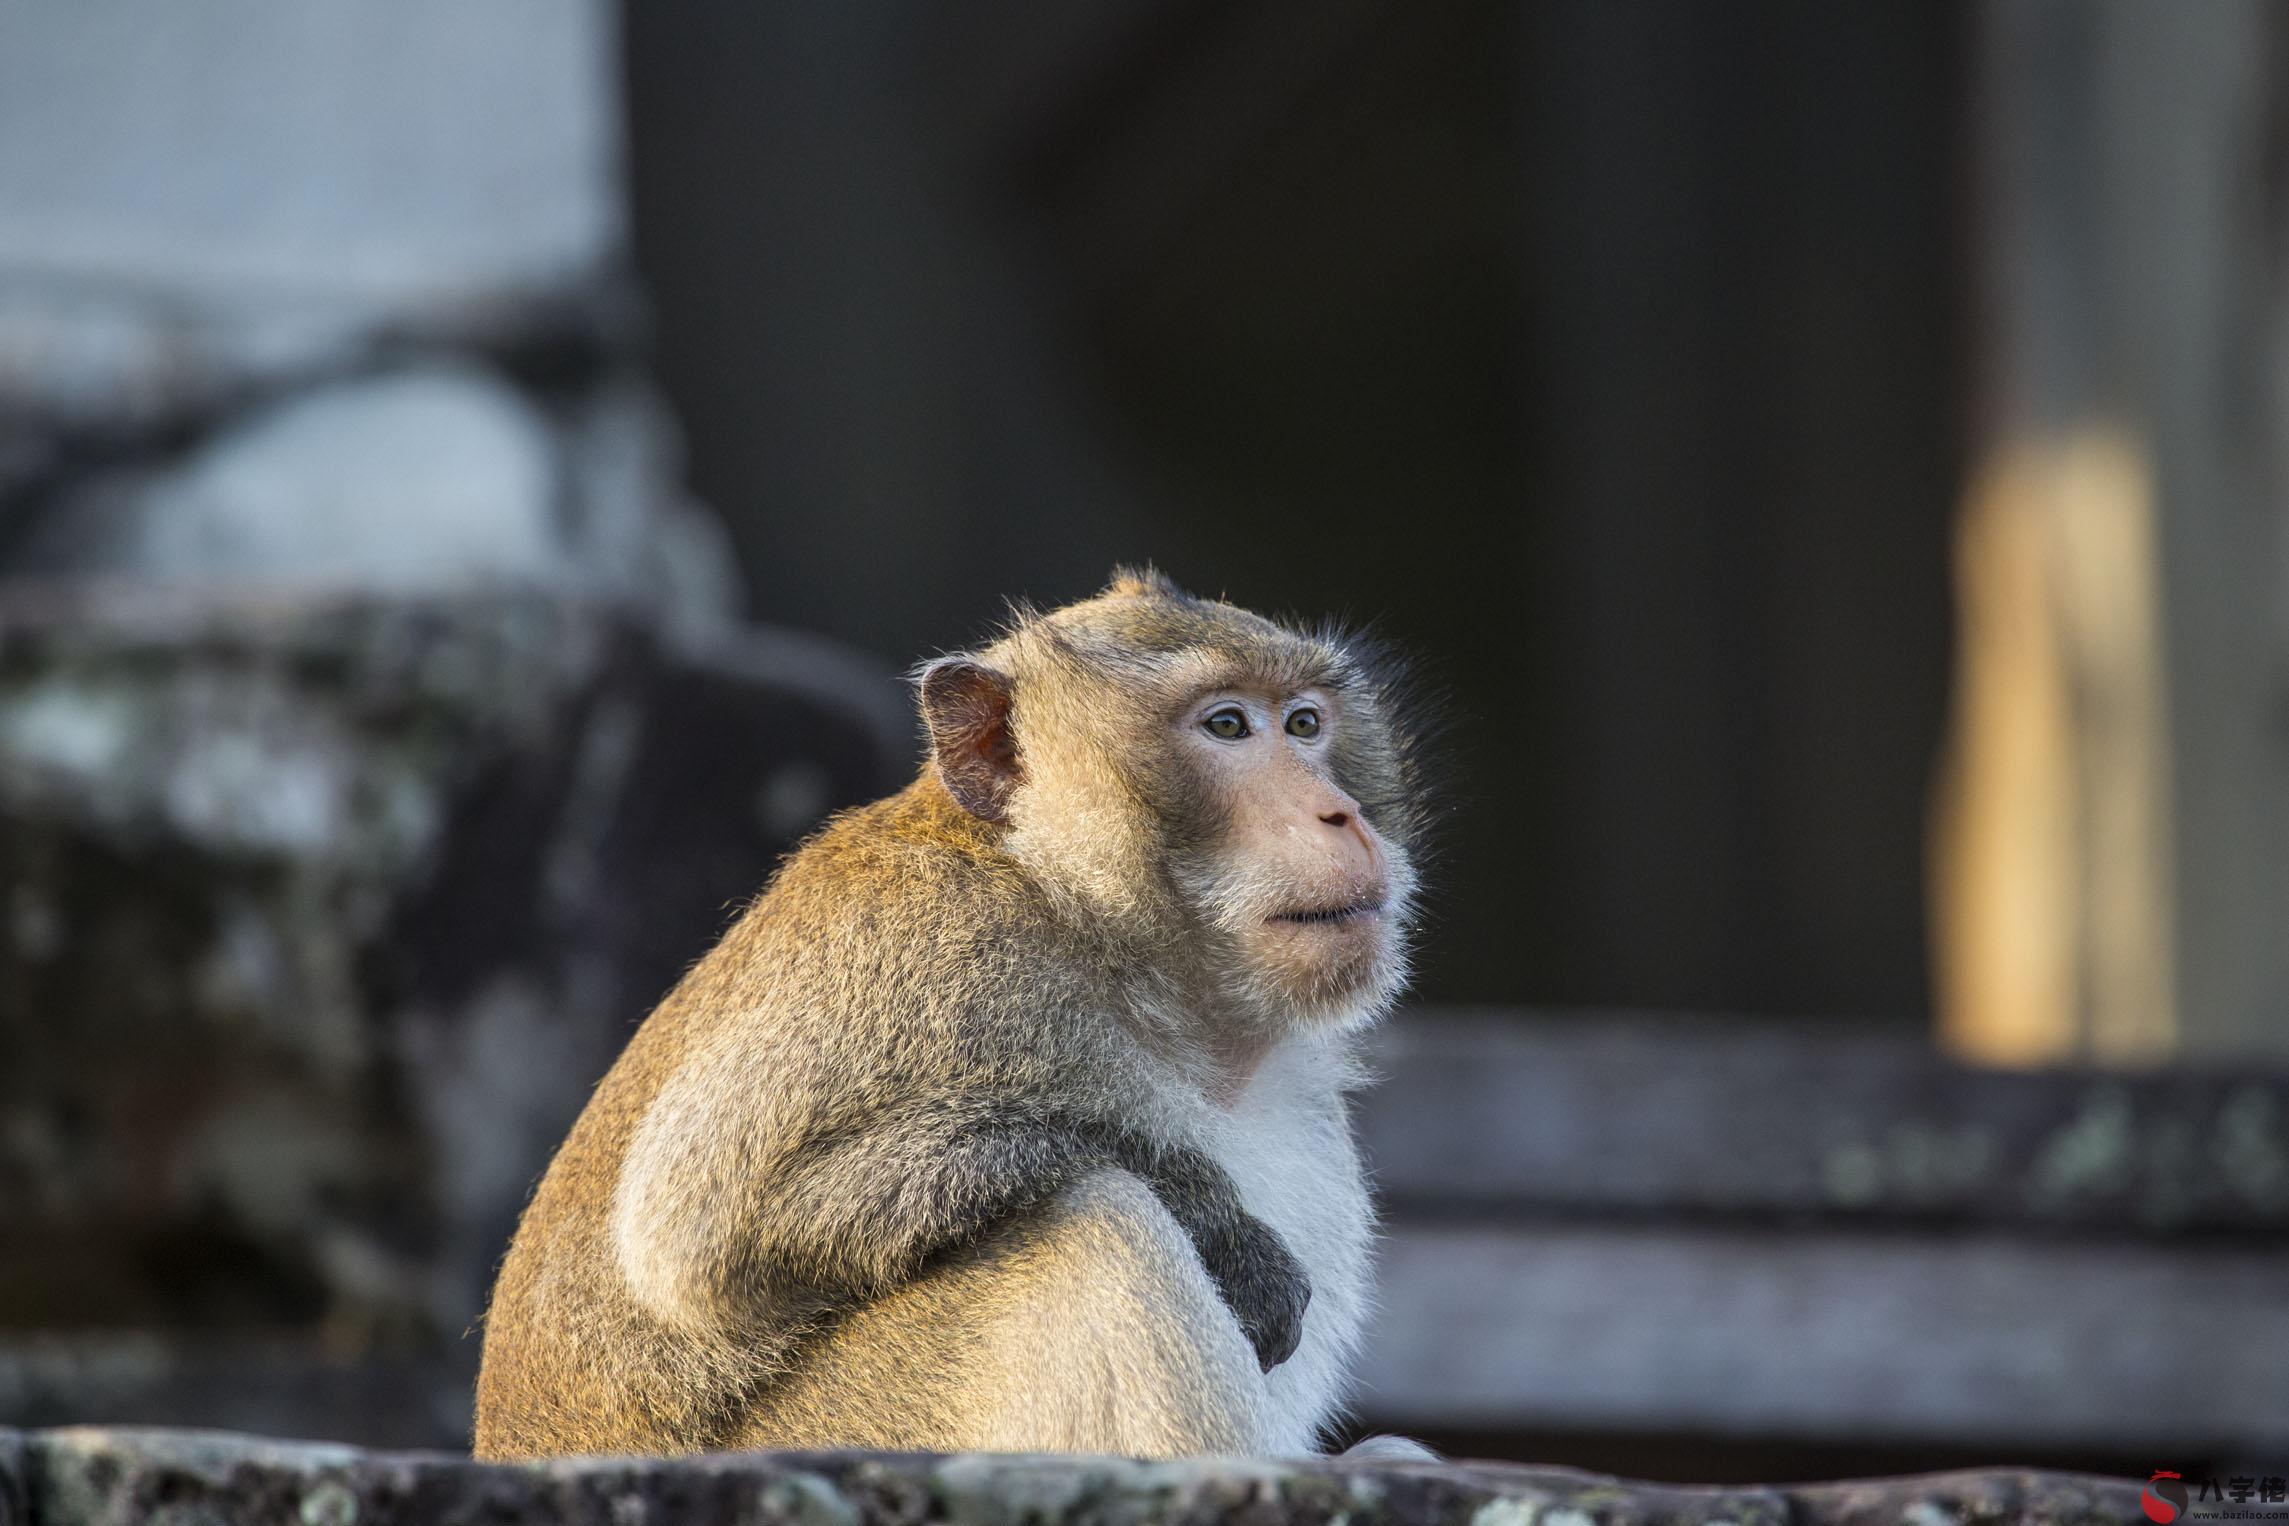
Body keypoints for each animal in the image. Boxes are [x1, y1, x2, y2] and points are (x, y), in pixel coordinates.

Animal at [473, 567, 1437, 1464]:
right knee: (1089, 1218)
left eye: (1304, 724)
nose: (1339, 813)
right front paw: (1216, 1222)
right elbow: (692, 1234)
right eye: (1228, 726)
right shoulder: (931, 955)